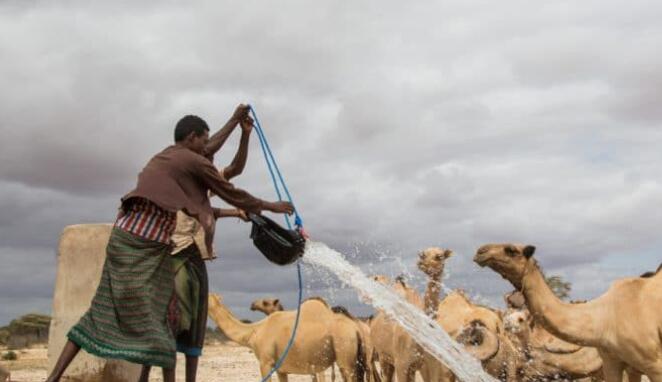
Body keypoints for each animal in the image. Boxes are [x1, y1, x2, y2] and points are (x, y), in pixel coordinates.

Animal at [209, 294, 368, 380]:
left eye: (265, 302)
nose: (252, 304)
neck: (254, 332)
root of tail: (356, 328)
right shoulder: (281, 369)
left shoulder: (265, 362)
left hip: (344, 355)